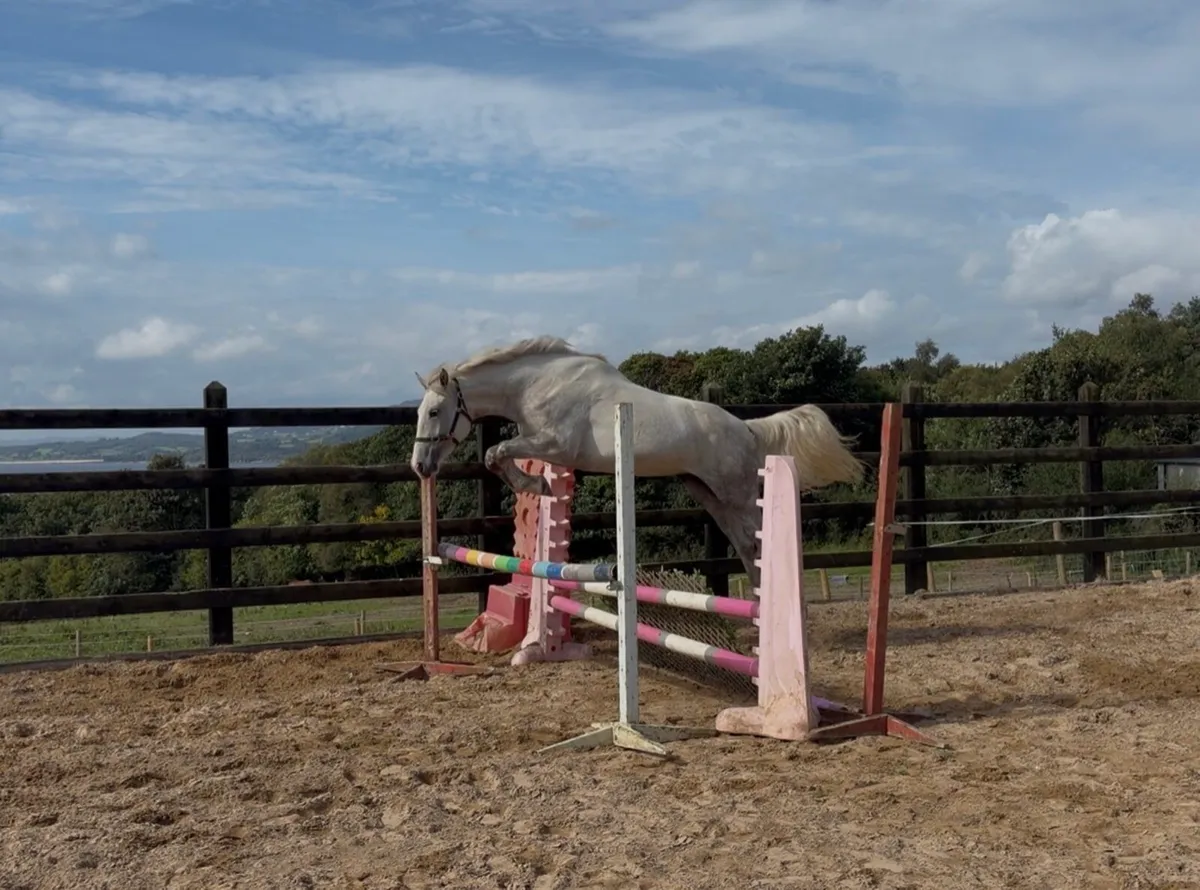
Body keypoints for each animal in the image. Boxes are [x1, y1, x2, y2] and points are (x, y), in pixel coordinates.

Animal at [409, 336, 864, 587]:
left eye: (434, 411)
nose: (420, 467)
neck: (537, 383)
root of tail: (748, 429)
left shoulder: (555, 445)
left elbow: (495, 453)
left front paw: (535, 485)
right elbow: (496, 455)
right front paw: (537, 485)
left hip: (735, 494)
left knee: (757, 541)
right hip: (709, 495)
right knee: (745, 544)